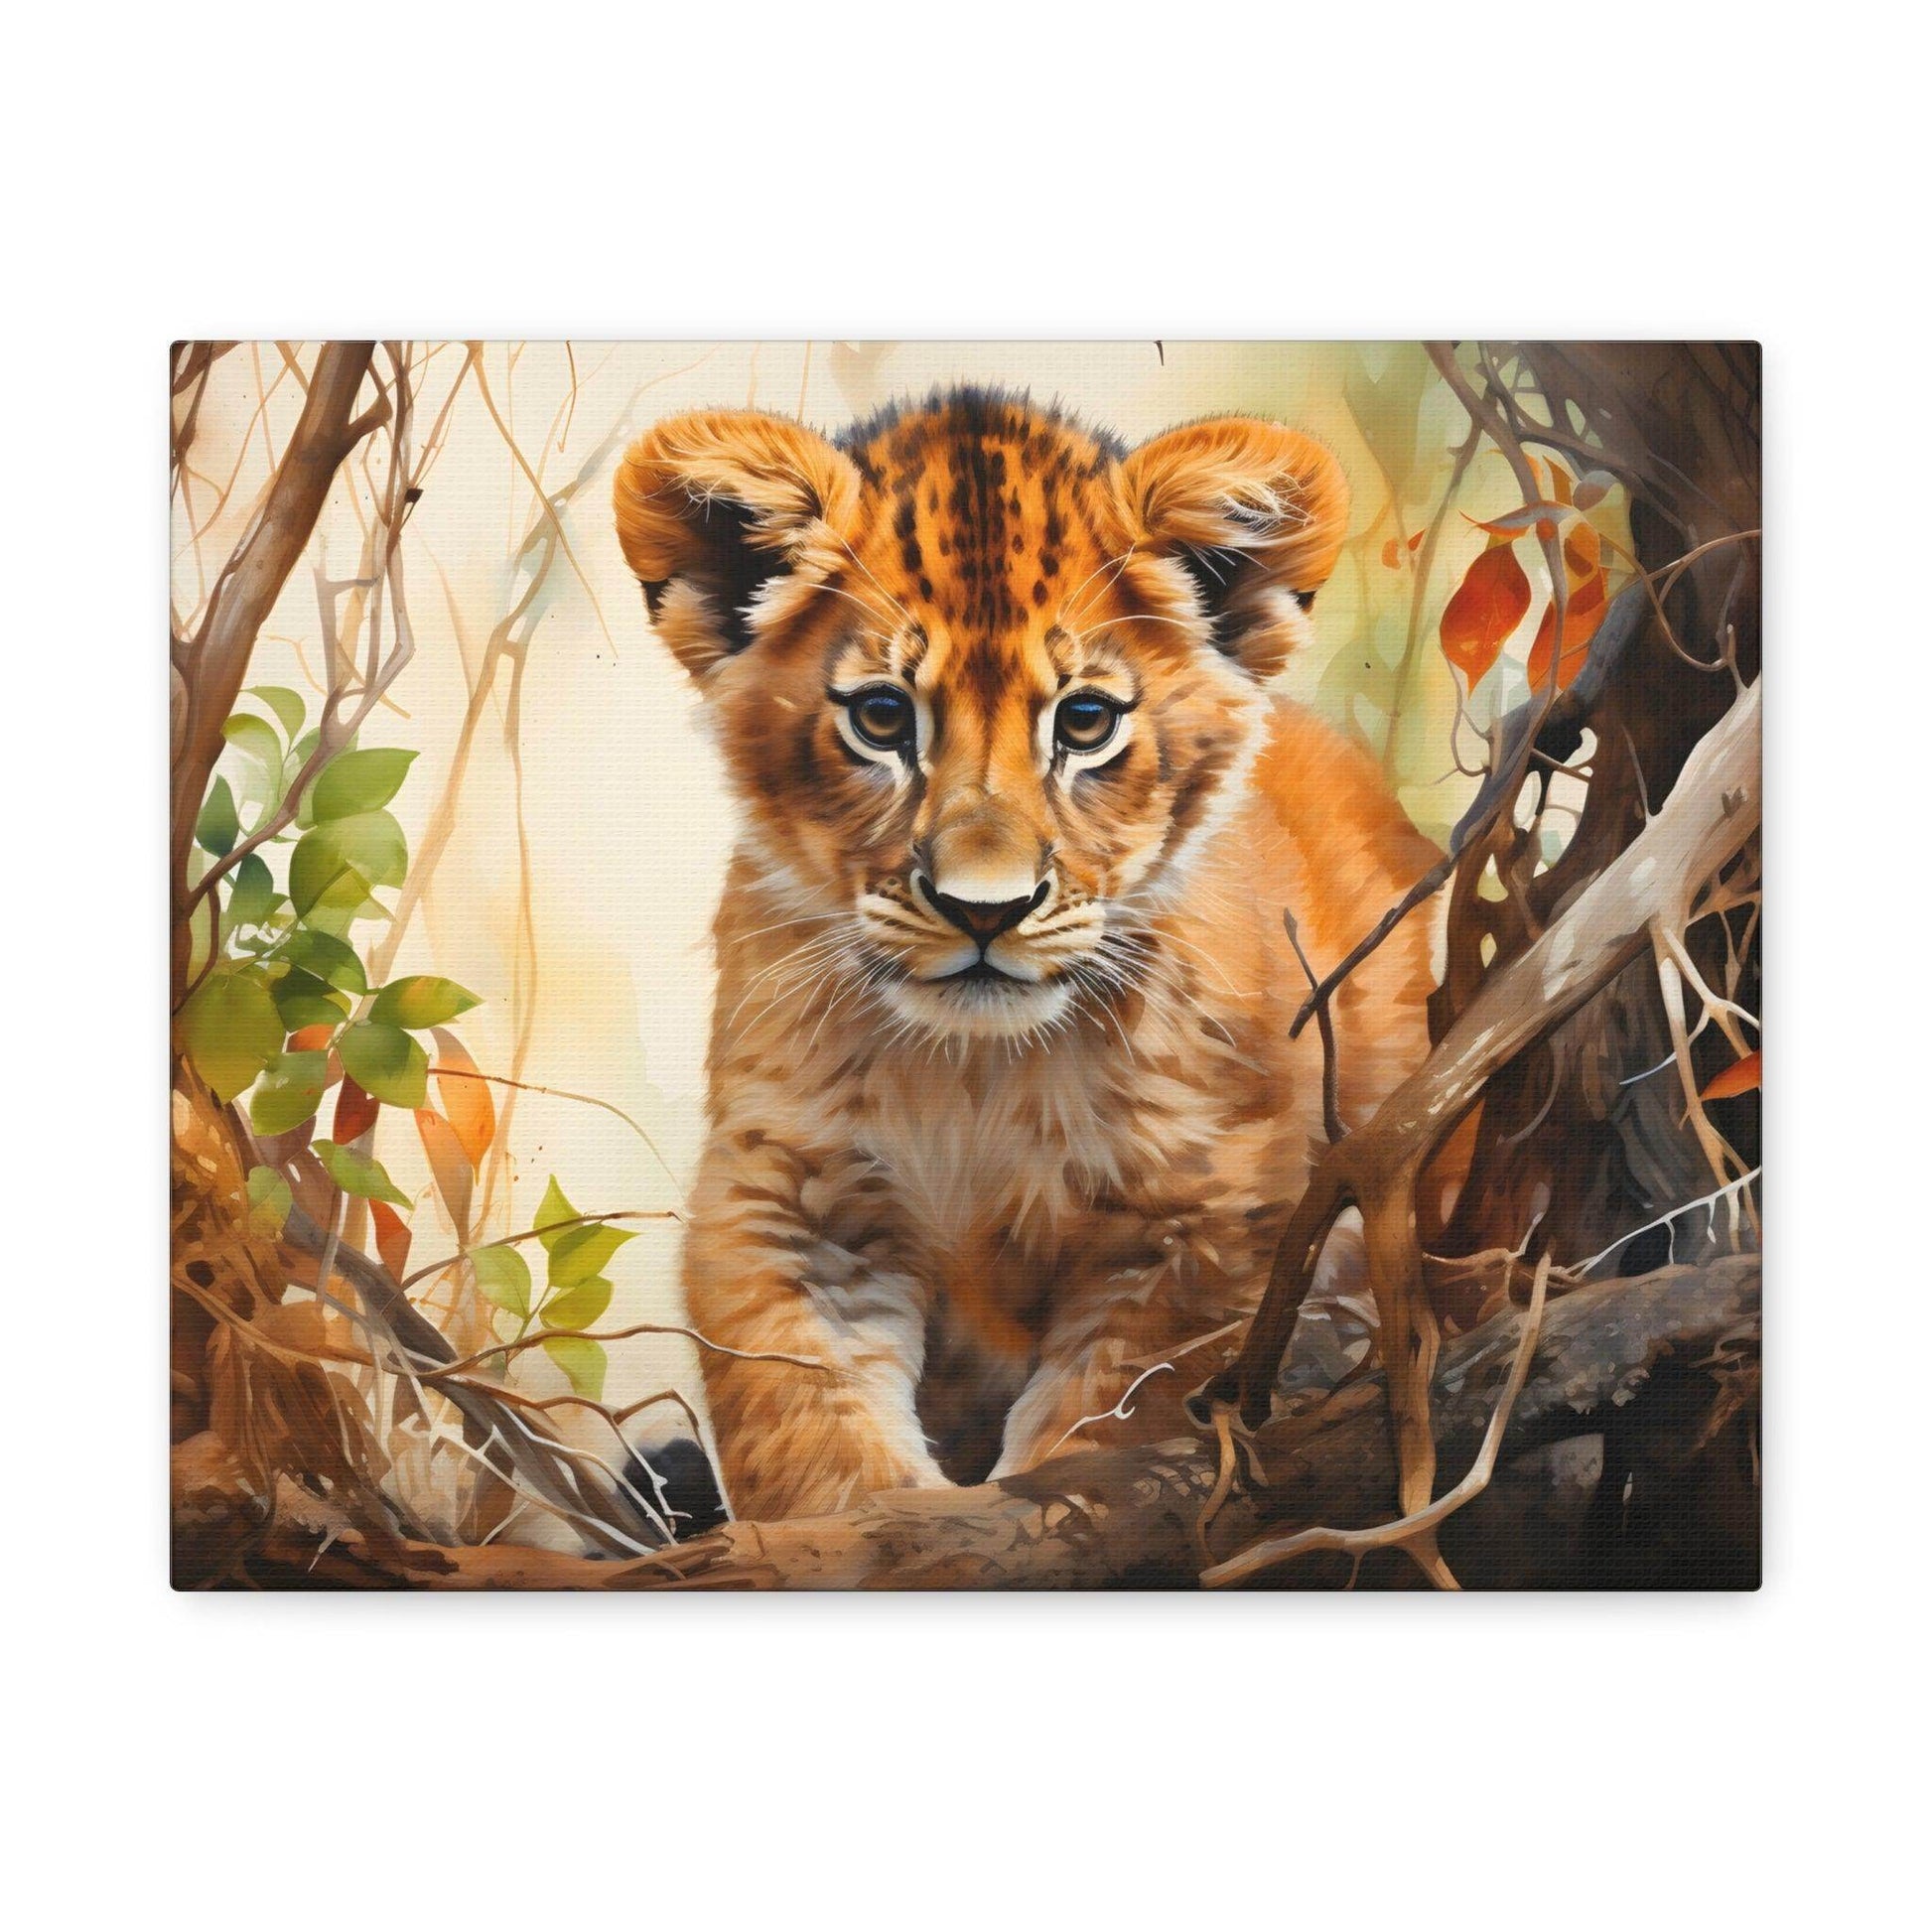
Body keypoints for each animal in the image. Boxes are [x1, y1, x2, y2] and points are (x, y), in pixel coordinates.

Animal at [614, 387, 1440, 1521]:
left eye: (1084, 722)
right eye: (882, 717)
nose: (984, 911)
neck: (977, 1075)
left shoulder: (1202, 1215)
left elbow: (1111, 1426)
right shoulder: (788, 1197)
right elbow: (809, 1434)